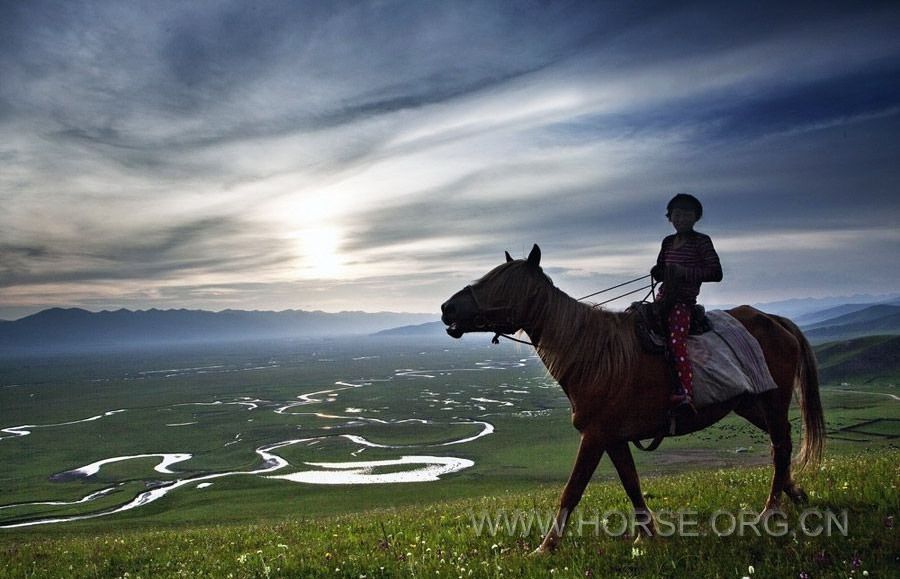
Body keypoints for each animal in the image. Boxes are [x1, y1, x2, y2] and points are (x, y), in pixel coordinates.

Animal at [440, 244, 828, 552]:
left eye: (498, 284)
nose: (447, 308)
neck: (592, 355)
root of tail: (772, 320)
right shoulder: (613, 438)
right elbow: (631, 484)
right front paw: (647, 535)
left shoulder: (595, 436)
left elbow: (572, 491)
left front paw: (545, 548)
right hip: (749, 403)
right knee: (781, 442)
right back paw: (795, 494)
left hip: (772, 401)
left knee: (780, 445)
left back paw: (769, 510)